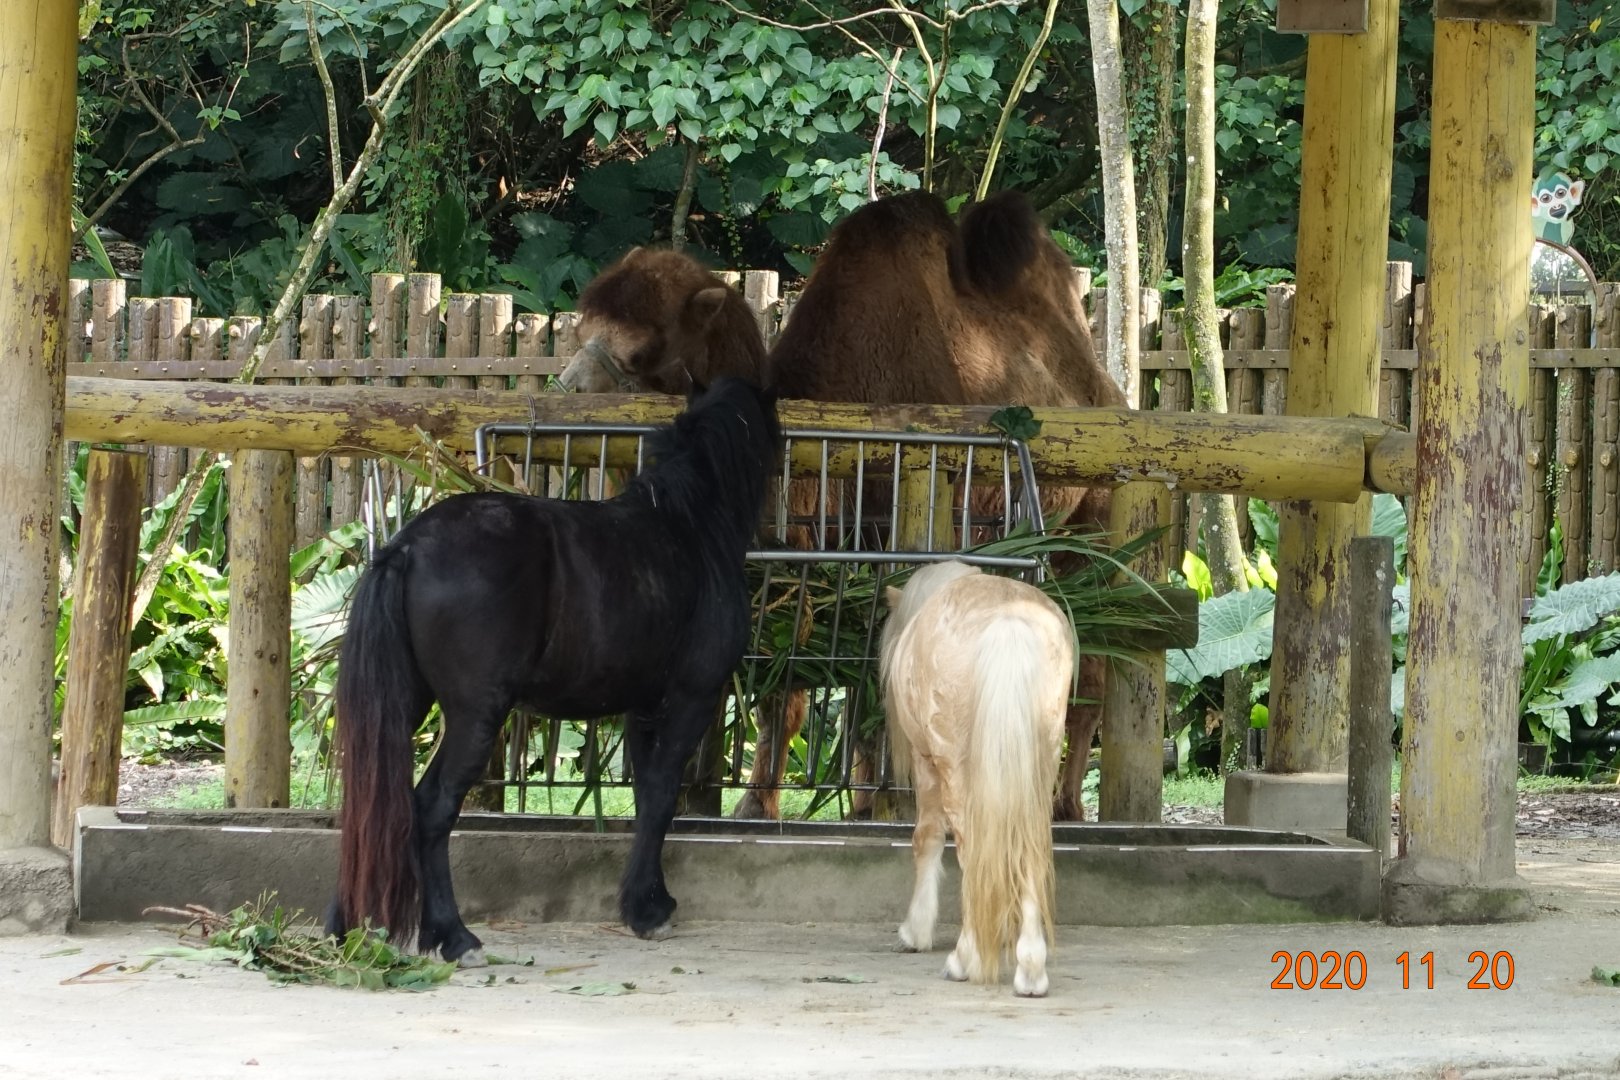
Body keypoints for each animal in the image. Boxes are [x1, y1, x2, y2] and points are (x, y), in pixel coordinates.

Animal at [327, 378, 781, 965]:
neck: (687, 526)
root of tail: (407, 547)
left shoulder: (643, 708)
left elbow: (647, 798)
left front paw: (647, 901)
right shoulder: (691, 698)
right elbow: (662, 796)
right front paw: (647, 912)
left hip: (404, 705)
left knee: (367, 801)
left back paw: (345, 928)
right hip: (475, 716)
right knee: (430, 808)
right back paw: (455, 937)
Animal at [881, 560, 1073, 997]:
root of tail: (1009, 621)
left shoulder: (925, 761)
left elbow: (927, 838)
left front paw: (915, 932)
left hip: (953, 765)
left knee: (970, 849)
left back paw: (964, 958)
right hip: (1041, 763)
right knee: (1030, 848)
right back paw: (1031, 969)